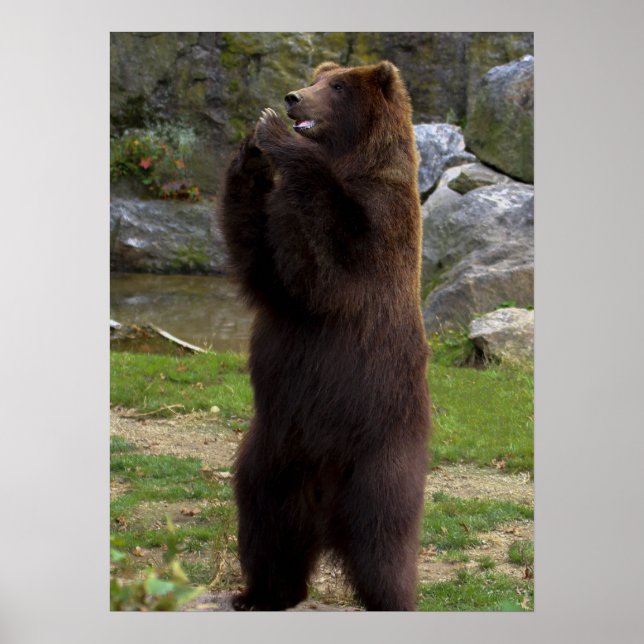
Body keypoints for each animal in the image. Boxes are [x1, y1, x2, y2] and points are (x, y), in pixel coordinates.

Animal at [218, 60, 431, 611]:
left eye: (335, 86)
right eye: (317, 79)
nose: (292, 97)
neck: (350, 159)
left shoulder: (379, 228)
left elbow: (325, 268)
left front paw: (275, 136)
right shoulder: (277, 275)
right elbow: (261, 262)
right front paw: (249, 155)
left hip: (377, 447)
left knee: (382, 537)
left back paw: (392, 599)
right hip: (274, 453)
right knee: (267, 521)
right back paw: (261, 592)